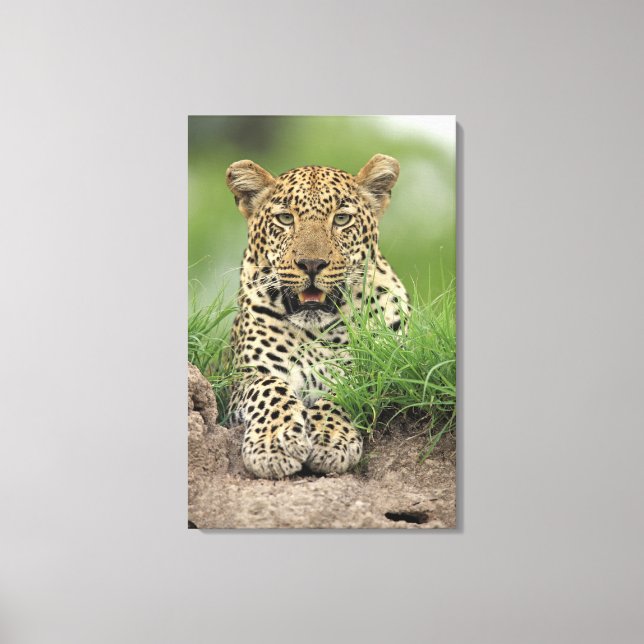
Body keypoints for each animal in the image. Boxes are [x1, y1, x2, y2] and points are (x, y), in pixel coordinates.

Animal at [225, 154, 409, 479]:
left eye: (341, 219)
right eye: (286, 219)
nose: (311, 264)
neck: (318, 332)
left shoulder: (385, 369)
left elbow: (346, 388)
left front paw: (331, 439)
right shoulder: (243, 380)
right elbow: (270, 387)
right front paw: (273, 443)